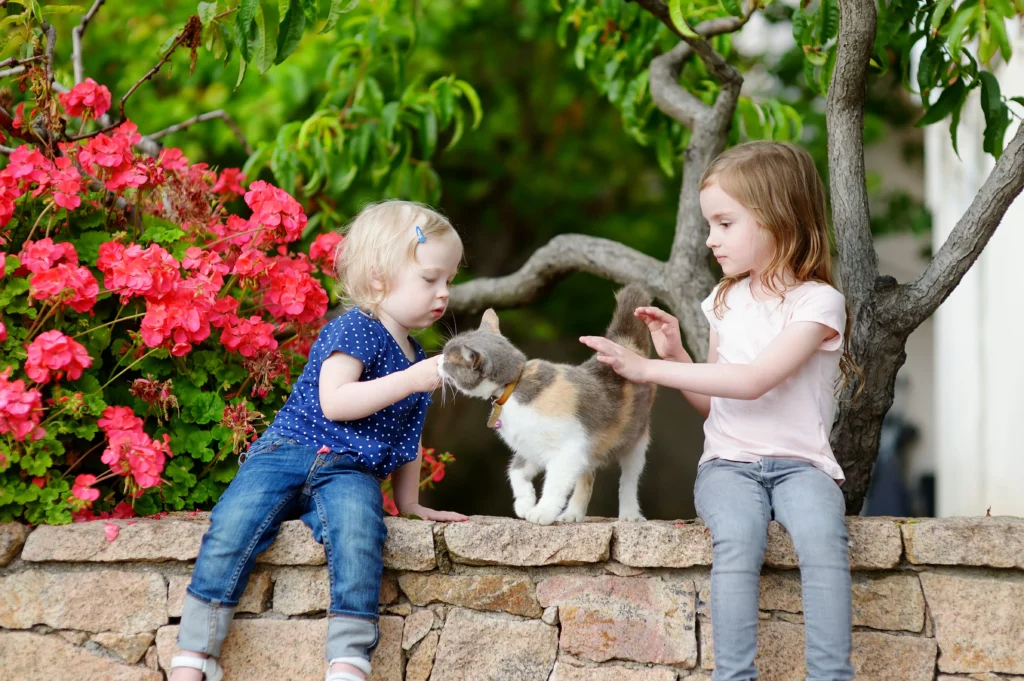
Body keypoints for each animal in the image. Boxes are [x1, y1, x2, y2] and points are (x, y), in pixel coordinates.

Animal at [440, 284, 655, 522]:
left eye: (447, 359)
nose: (437, 361)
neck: (514, 386)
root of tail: (624, 346)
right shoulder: (531, 447)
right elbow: (515, 472)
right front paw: (525, 504)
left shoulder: (569, 450)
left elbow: (554, 485)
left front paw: (543, 511)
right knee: (587, 477)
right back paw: (572, 514)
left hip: (635, 441)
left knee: (628, 481)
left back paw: (629, 514)